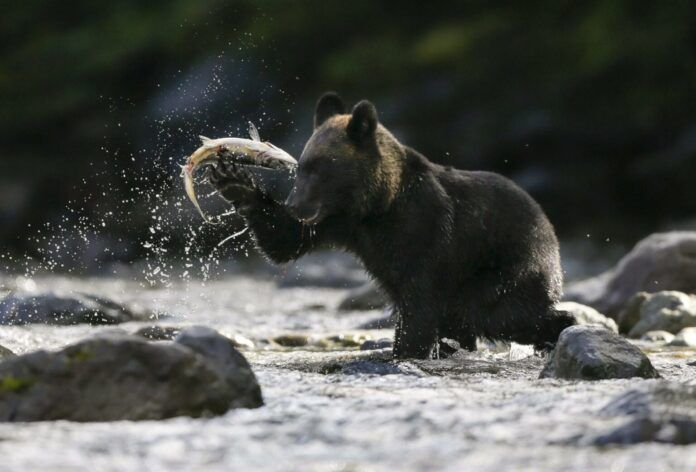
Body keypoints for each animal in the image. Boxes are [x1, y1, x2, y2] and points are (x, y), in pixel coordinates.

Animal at [207, 92, 575, 359]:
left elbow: (419, 304)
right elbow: (285, 241)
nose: (297, 205)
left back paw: (558, 330)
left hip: (504, 266)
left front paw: (403, 352)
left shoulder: (425, 232)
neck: (377, 206)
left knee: (497, 312)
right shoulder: (339, 224)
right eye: (301, 168)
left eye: (321, 168)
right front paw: (233, 178)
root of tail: (550, 228)